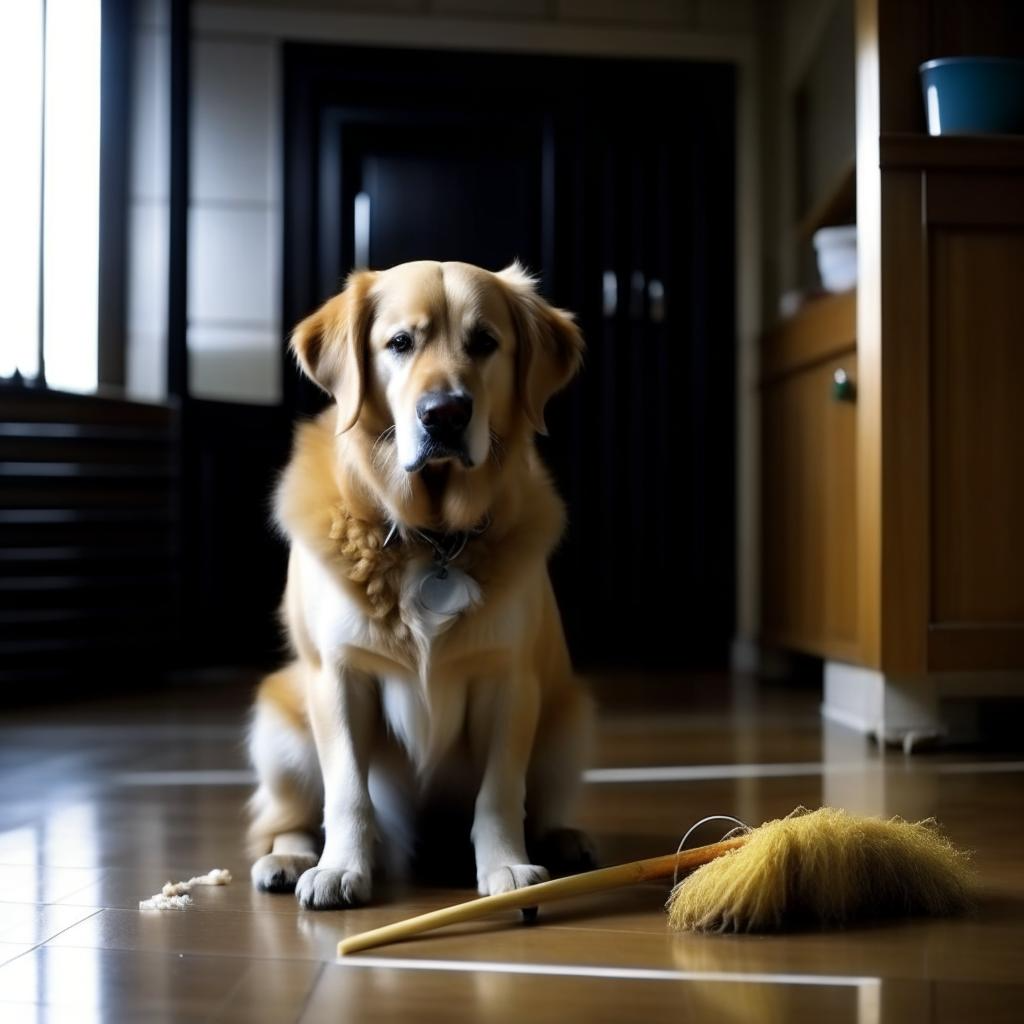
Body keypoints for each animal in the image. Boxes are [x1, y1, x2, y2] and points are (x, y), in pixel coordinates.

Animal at [247, 260, 598, 909]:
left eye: (484, 342)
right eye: (400, 343)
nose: (444, 414)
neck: (430, 537)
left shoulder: (510, 681)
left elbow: (500, 792)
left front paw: (506, 865)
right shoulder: (338, 676)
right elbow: (347, 792)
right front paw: (341, 868)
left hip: (569, 722)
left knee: (542, 804)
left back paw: (564, 839)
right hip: (280, 727)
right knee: (286, 816)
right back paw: (289, 857)